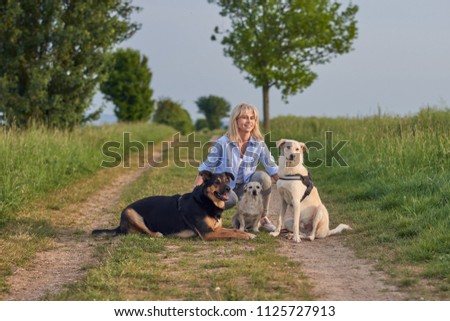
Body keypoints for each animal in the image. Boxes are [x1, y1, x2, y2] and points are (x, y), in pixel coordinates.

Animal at [91, 170, 255, 240]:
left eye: (227, 181)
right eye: (217, 182)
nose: (228, 189)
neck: (205, 202)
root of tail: (119, 225)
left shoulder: (216, 229)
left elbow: (234, 230)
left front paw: (248, 233)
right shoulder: (207, 233)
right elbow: (231, 233)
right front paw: (247, 236)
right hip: (130, 213)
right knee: (145, 232)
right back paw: (157, 234)